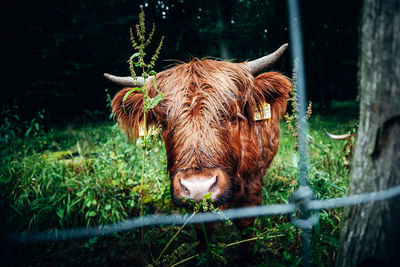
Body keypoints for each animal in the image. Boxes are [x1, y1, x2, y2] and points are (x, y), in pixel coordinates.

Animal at [105, 44, 290, 258]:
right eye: (164, 122)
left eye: (234, 116)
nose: (198, 187)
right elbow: (203, 229)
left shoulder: (252, 186)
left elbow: (246, 226)